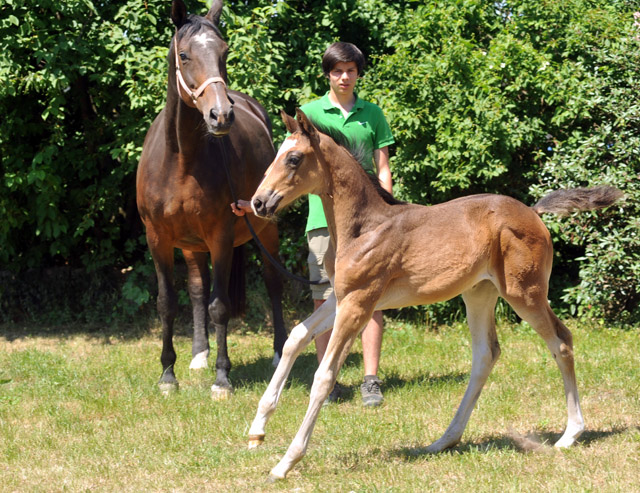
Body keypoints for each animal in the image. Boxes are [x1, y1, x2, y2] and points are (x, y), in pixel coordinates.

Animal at [248, 108, 624, 480]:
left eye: (294, 158)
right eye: (276, 155)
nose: (258, 202)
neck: (363, 228)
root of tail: (533, 212)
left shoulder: (359, 302)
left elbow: (323, 376)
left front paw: (285, 462)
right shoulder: (341, 297)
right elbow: (296, 337)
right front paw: (257, 430)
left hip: (524, 293)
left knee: (561, 342)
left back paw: (570, 434)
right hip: (479, 293)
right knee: (486, 354)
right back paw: (444, 440)